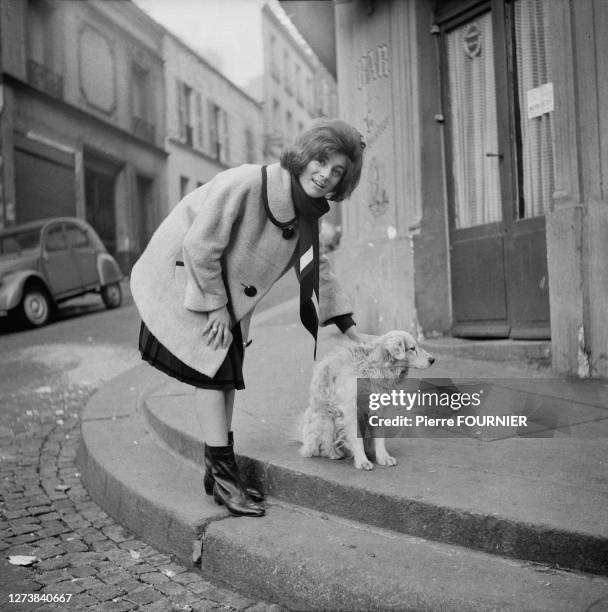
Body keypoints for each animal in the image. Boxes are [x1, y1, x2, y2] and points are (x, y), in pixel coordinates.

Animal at [298, 330, 432, 468]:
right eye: (412, 348)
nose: (432, 359)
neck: (375, 368)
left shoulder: (378, 408)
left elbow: (379, 437)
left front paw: (383, 457)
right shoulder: (350, 409)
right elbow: (356, 439)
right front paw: (362, 461)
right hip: (326, 418)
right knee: (321, 444)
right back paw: (333, 453)